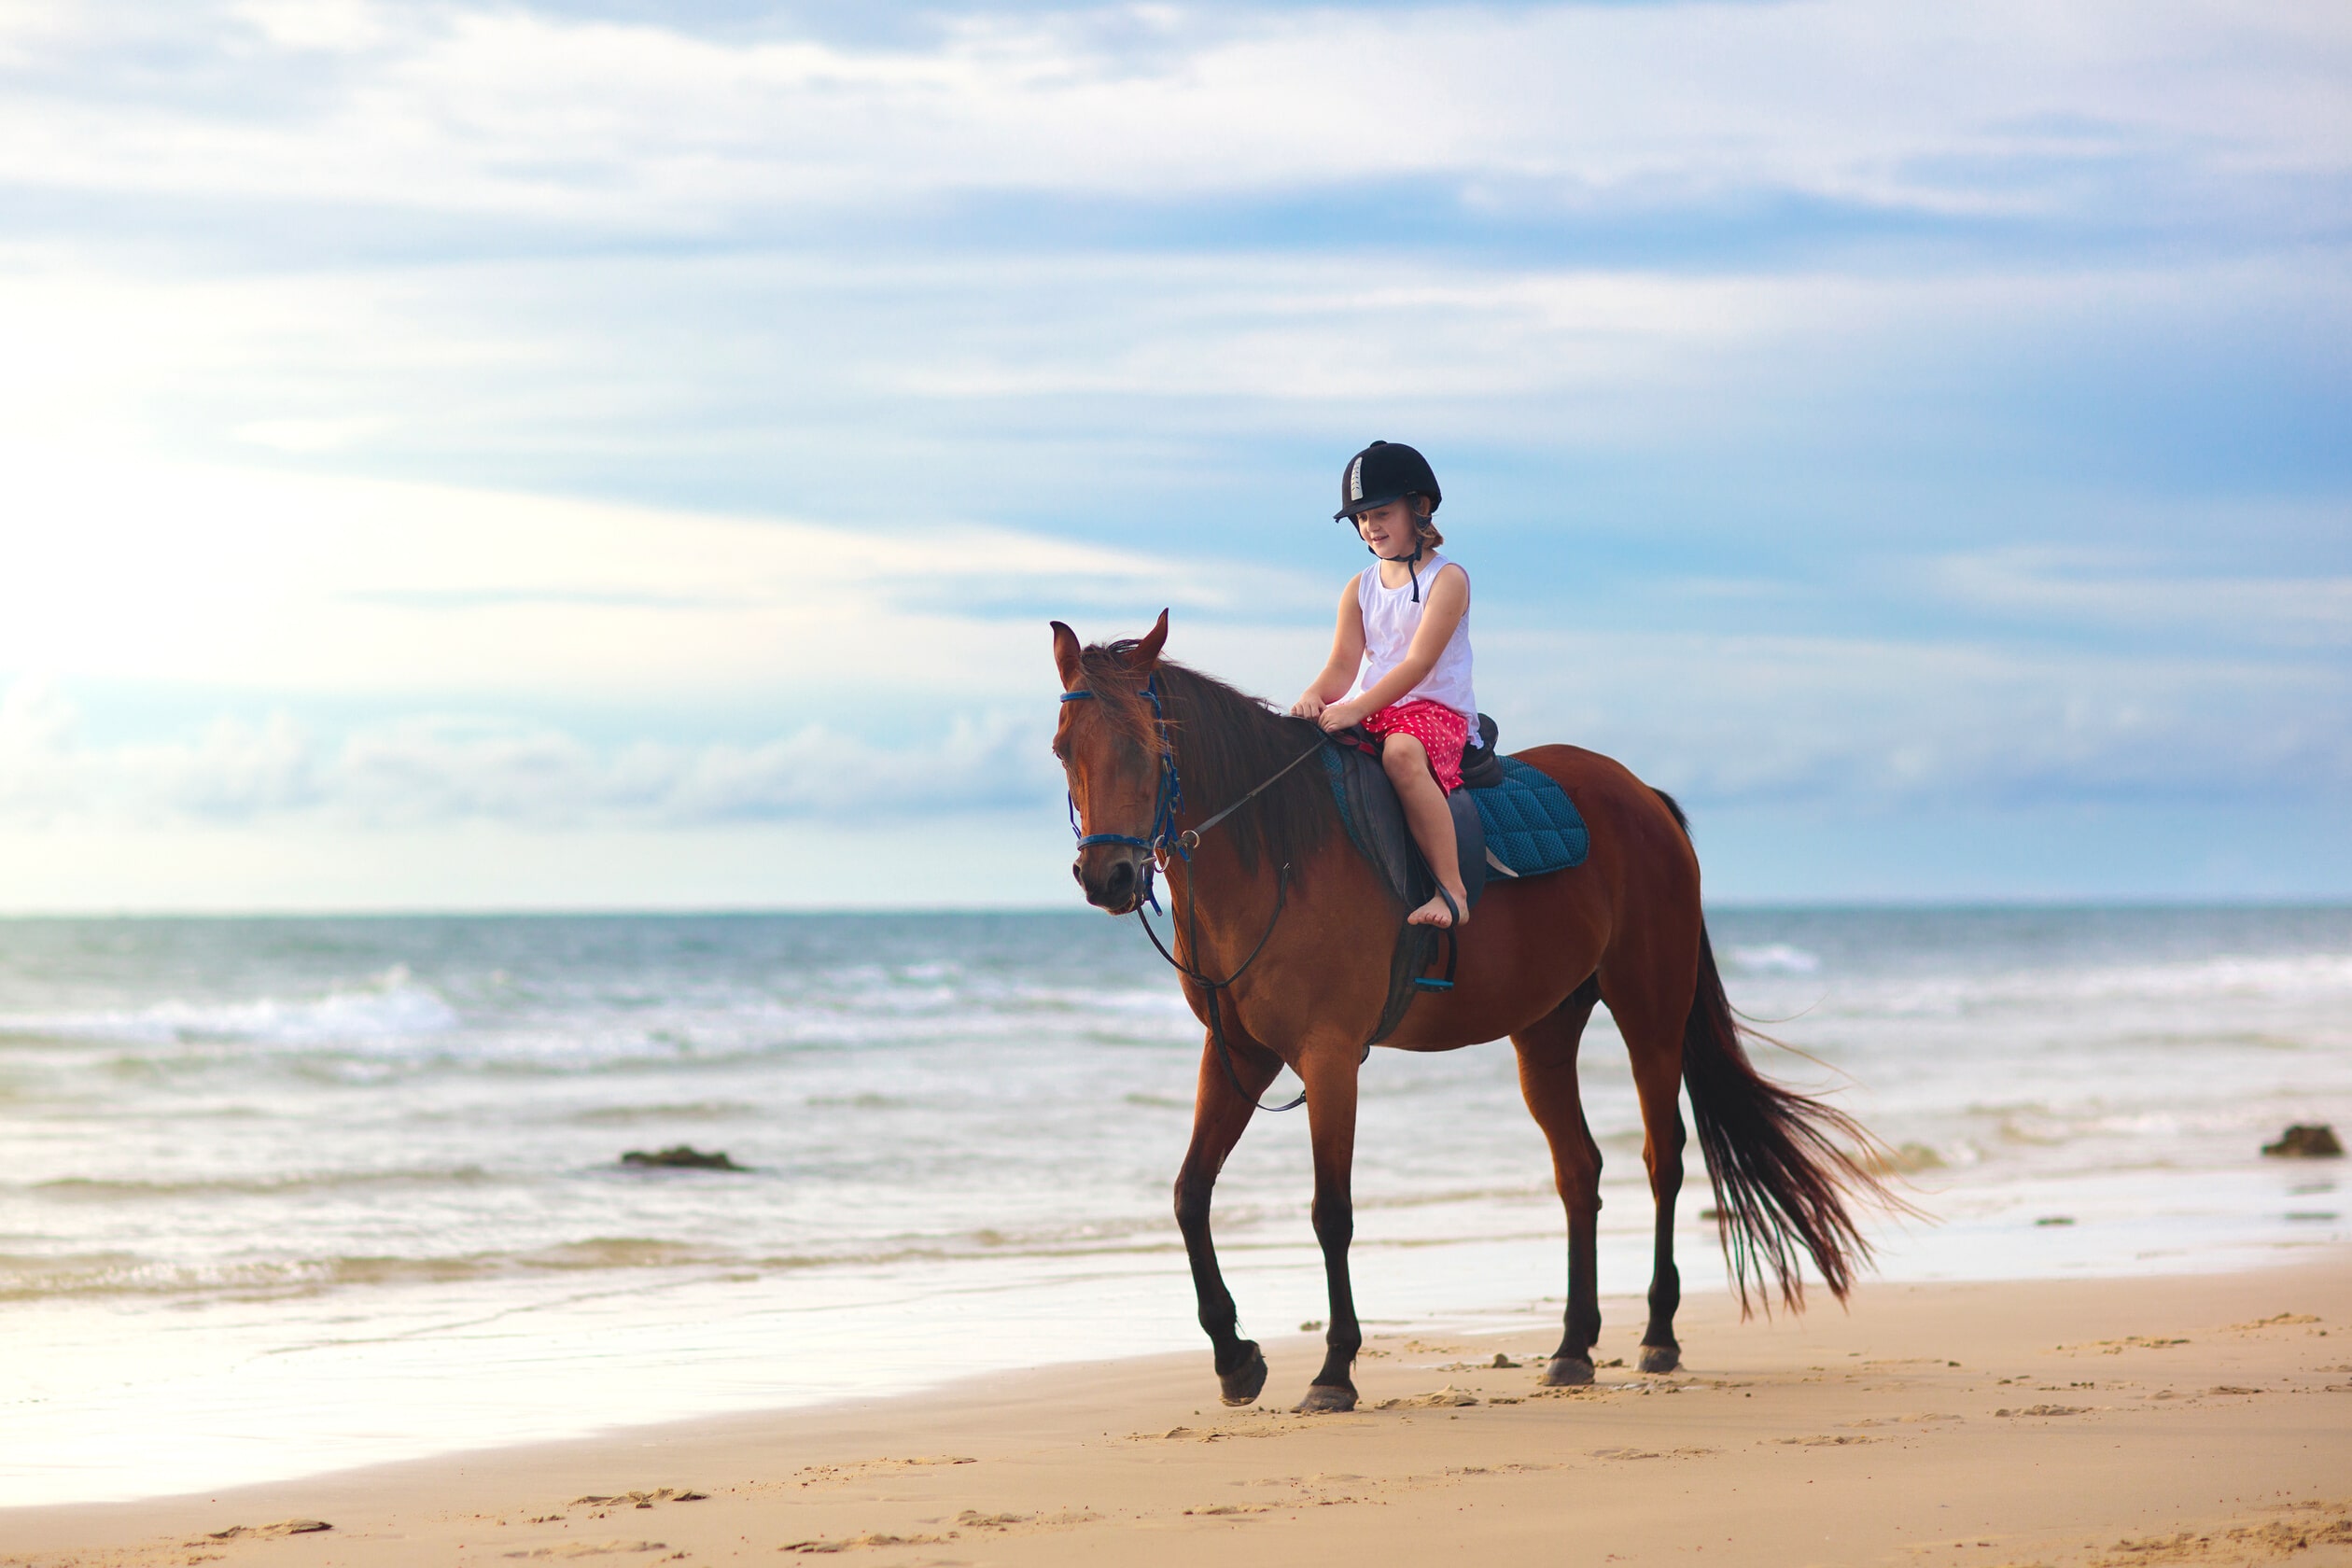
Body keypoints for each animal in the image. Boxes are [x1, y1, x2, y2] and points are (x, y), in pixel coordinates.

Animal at [1058, 610, 1900, 1410]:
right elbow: (1189, 1195)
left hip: (1651, 1018)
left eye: (1146, 746)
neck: (1280, 853)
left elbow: (1332, 1212)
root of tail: (1644, 797)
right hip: (1545, 1030)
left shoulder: (1329, 1058)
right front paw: (1236, 1359)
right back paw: (1573, 1346)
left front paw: (1334, 1370)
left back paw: (1658, 1334)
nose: (1109, 877)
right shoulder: (1238, 1053)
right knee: (1579, 1171)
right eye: (1066, 748)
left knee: (1662, 1160)